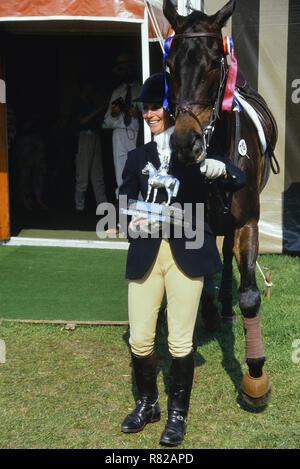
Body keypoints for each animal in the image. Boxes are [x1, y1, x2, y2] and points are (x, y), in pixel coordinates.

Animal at [162, 0, 278, 406]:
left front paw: (255, 374)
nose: (185, 142)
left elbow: (250, 295)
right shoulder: (193, 222)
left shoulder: (247, 222)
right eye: (169, 65)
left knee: (228, 254)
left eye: (215, 62)